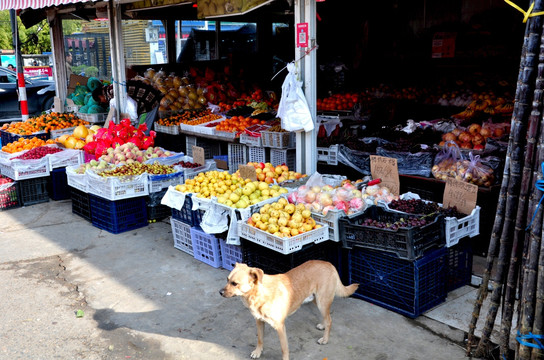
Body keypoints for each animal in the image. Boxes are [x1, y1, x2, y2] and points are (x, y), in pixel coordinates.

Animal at [219, 260, 360, 358]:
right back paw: (323, 325)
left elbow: (284, 348)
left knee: (330, 320)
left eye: (235, 283)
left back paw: (325, 339)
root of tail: (329, 264)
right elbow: (260, 339)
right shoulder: (259, 321)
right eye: (227, 279)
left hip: (322, 301)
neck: (258, 294)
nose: (220, 292)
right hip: (315, 299)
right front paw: (258, 352)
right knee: (327, 317)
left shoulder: (280, 327)